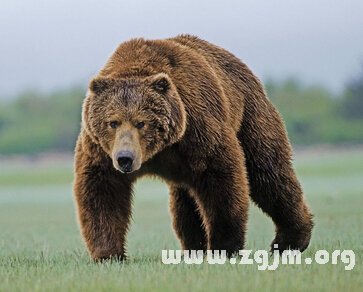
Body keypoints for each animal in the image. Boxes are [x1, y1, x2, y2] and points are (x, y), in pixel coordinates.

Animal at [73, 33, 312, 260]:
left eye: (141, 122)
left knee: (268, 174)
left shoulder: (198, 128)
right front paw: (109, 253)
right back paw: (194, 249)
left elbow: (222, 180)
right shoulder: (100, 150)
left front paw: (224, 246)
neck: (158, 151)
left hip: (250, 117)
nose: (125, 158)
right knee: (185, 203)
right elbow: (103, 191)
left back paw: (290, 240)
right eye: (113, 122)